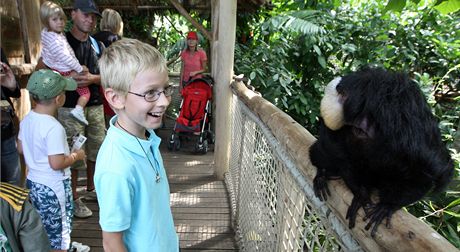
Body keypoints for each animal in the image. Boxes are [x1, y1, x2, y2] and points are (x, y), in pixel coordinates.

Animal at [310, 67, 452, 236]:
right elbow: (340, 152)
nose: (361, 129)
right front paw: (361, 194)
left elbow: (426, 170)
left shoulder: (406, 123)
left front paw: (388, 205)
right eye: (358, 129)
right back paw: (324, 173)